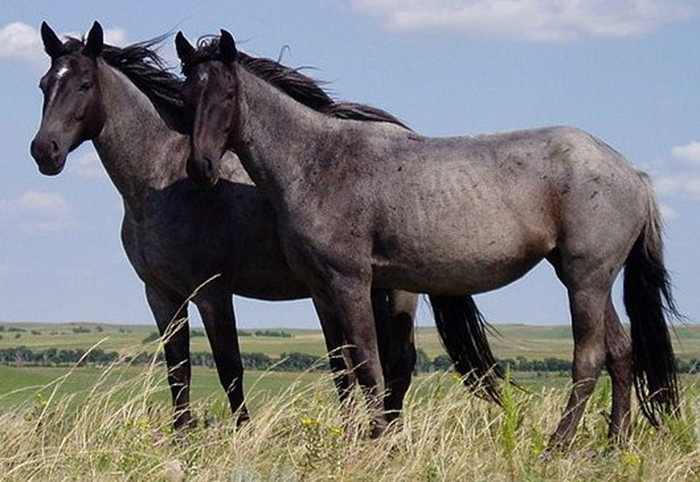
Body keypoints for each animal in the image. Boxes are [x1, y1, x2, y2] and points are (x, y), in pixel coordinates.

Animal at [29, 21, 424, 431]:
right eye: (44, 84)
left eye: (84, 84)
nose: (44, 150)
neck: (161, 181)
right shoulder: (161, 295)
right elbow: (178, 371)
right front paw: (181, 436)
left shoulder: (212, 292)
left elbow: (229, 367)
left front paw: (242, 433)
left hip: (397, 290)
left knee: (397, 364)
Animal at [175, 29, 680, 446]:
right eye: (185, 96)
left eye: (228, 94)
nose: (200, 168)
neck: (317, 162)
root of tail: (631, 172)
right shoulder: (320, 290)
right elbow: (342, 368)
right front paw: (351, 438)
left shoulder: (352, 283)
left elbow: (369, 364)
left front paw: (377, 441)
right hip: (591, 280)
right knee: (620, 353)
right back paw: (615, 444)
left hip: (584, 282)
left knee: (588, 358)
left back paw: (559, 444)